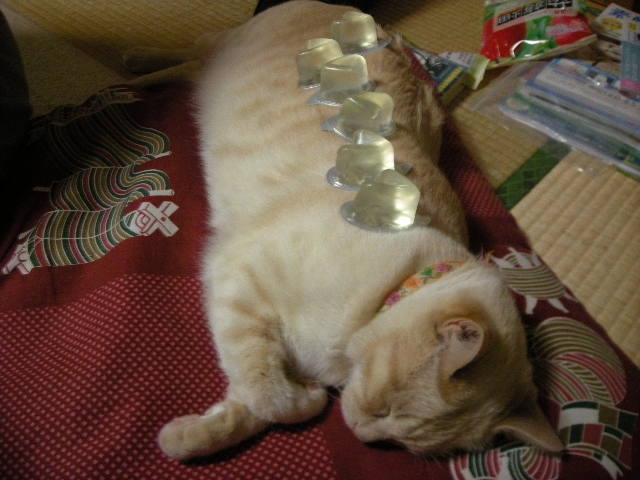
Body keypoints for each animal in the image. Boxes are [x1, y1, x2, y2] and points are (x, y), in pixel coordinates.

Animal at [125, 0, 563, 461]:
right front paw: (307, 400)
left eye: (400, 441)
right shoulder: (238, 286)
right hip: (223, 49)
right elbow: (272, 395)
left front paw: (184, 438)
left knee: (189, 65)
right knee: (190, 51)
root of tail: (341, 8)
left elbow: (246, 409)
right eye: (386, 408)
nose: (360, 435)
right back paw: (132, 69)